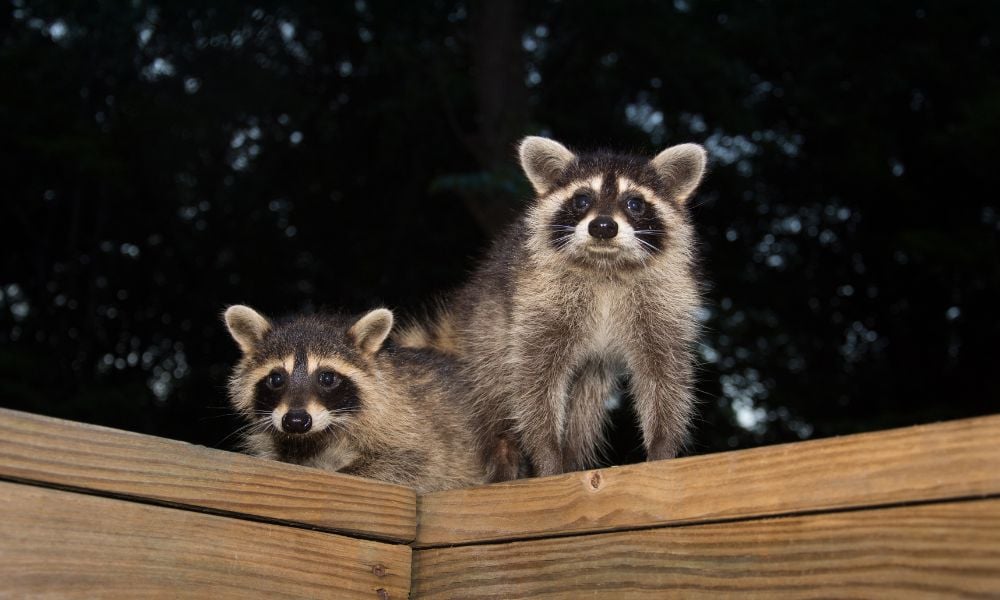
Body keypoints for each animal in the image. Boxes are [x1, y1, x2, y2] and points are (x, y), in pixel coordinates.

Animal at [223, 305, 485, 492]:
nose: (296, 421)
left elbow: (416, 461)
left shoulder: (411, 422)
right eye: (276, 379)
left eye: (327, 378)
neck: (314, 437)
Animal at [397, 136, 707, 481]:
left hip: (590, 370)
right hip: (488, 325)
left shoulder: (663, 302)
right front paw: (546, 454)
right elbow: (535, 379)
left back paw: (572, 454)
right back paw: (503, 454)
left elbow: (664, 374)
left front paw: (662, 446)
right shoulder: (538, 298)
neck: (605, 266)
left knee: (586, 406)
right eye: (582, 200)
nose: (603, 226)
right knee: (494, 386)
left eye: (635, 204)